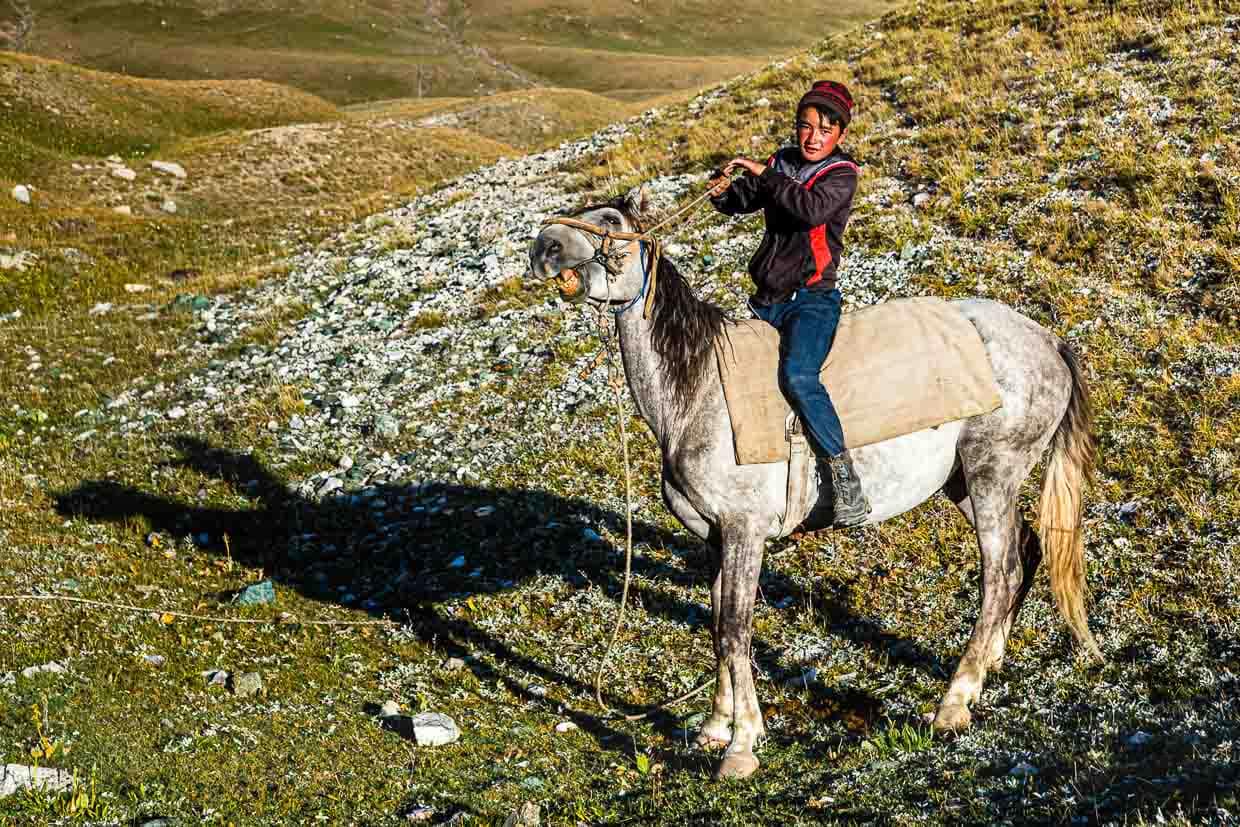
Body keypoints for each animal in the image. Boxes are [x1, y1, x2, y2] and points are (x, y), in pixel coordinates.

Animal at [528, 189, 1102, 780]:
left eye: (609, 221)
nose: (544, 248)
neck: (697, 390)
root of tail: (1047, 341)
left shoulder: (744, 532)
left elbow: (736, 629)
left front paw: (742, 745)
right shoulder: (714, 537)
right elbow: (717, 627)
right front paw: (715, 727)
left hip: (992, 473)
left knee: (999, 573)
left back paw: (954, 701)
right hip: (965, 482)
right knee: (1025, 551)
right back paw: (989, 664)